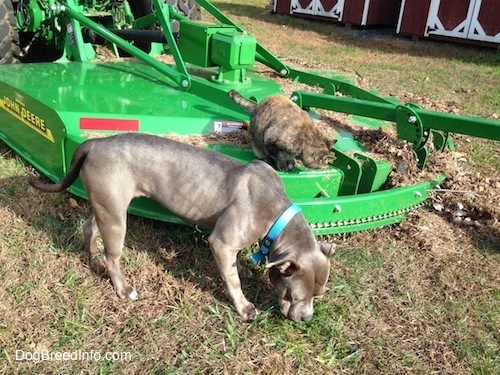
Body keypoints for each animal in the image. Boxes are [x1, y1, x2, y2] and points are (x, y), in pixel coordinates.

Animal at [32, 134, 336, 322]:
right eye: (292, 295)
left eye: (318, 295)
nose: (307, 318)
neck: (276, 212)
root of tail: (95, 143)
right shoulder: (222, 243)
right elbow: (233, 279)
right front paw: (244, 307)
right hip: (116, 219)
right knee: (113, 257)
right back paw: (123, 288)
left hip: (108, 207)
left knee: (90, 228)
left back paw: (92, 257)